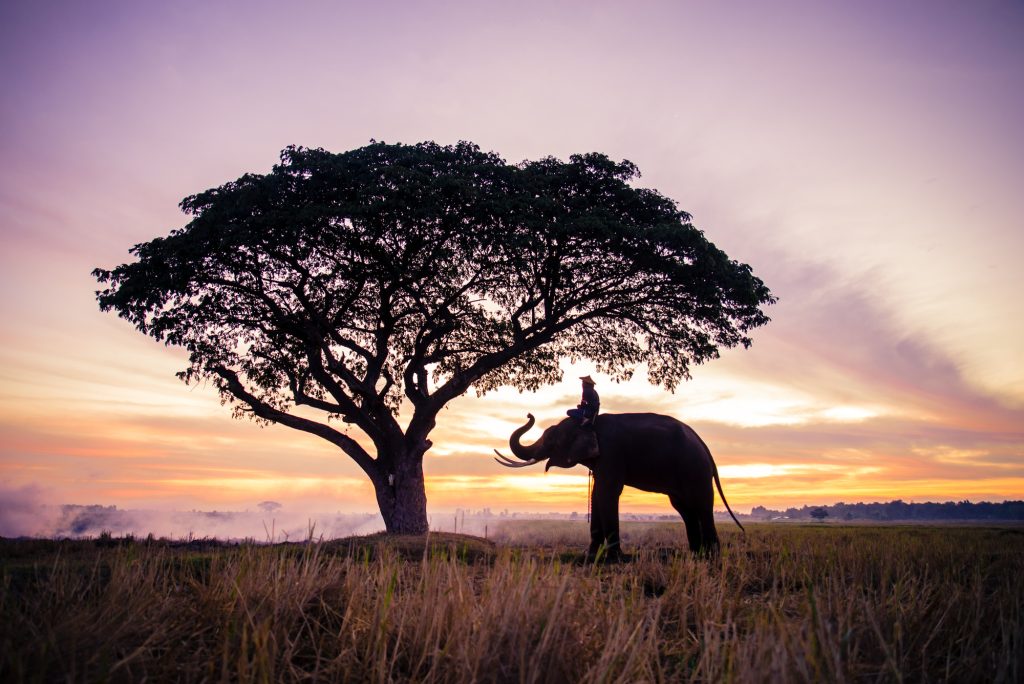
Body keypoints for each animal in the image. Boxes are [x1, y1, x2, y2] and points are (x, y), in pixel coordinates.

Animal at [494, 413, 744, 557]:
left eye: (552, 440)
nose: (529, 414)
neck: (589, 424)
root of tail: (704, 445)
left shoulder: (612, 452)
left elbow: (608, 492)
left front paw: (613, 559)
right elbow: (597, 494)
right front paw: (590, 557)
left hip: (695, 469)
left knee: (701, 505)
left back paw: (711, 556)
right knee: (685, 509)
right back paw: (695, 554)